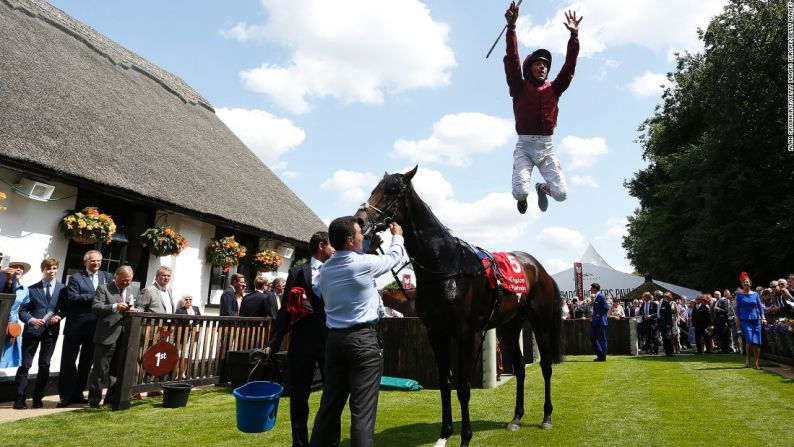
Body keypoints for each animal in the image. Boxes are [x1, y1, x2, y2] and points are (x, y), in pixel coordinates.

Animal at [352, 167, 564, 447]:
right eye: (374, 188)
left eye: (392, 191)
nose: (359, 221)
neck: (446, 267)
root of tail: (540, 269)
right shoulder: (436, 333)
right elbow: (445, 384)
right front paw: (444, 435)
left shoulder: (467, 335)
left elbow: (463, 387)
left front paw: (465, 437)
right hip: (509, 327)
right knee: (519, 369)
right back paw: (516, 418)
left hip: (541, 323)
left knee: (546, 366)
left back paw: (547, 417)